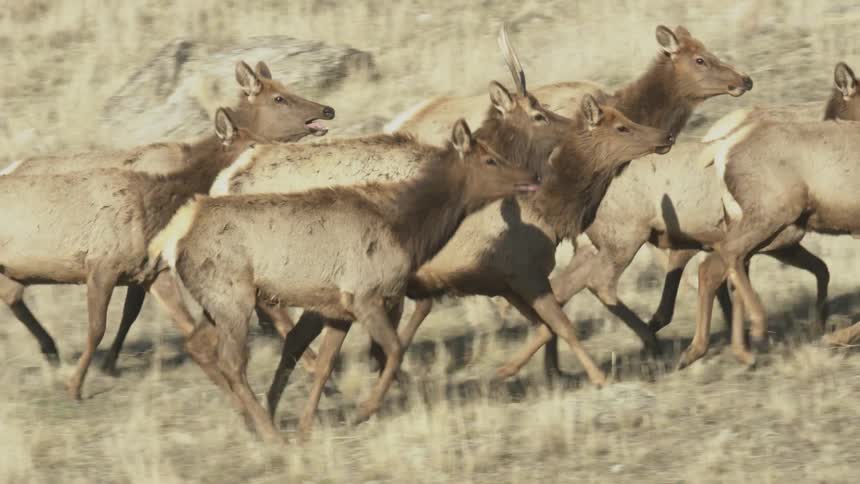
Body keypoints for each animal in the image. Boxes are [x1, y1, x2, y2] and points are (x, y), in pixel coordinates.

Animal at [0, 108, 323, 400]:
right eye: (251, 144)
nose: (277, 160)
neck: (156, 214)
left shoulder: (154, 272)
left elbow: (187, 327)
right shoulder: (101, 264)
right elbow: (96, 329)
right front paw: (75, 386)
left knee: (12, 296)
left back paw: (50, 349)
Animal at [146, 119, 542, 443]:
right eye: (490, 160)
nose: (532, 177)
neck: (408, 231)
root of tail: (171, 238)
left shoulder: (337, 310)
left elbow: (325, 366)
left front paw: (307, 426)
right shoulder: (366, 295)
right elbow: (394, 350)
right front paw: (362, 412)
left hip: (216, 302)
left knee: (200, 346)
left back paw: (256, 423)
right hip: (233, 299)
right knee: (231, 362)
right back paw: (271, 434)